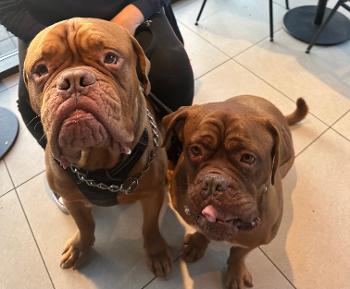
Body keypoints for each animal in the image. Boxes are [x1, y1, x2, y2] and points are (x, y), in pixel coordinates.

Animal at [23, 18, 172, 276]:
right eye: (40, 70)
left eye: (110, 58)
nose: (73, 80)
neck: (98, 161)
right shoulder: (72, 199)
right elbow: (85, 226)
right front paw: (80, 247)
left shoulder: (152, 195)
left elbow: (150, 226)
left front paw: (156, 251)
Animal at [163, 95, 308, 286]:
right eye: (195, 150)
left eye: (248, 158)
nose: (214, 182)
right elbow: (203, 230)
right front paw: (196, 244)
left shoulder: (255, 238)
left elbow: (238, 253)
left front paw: (236, 271)